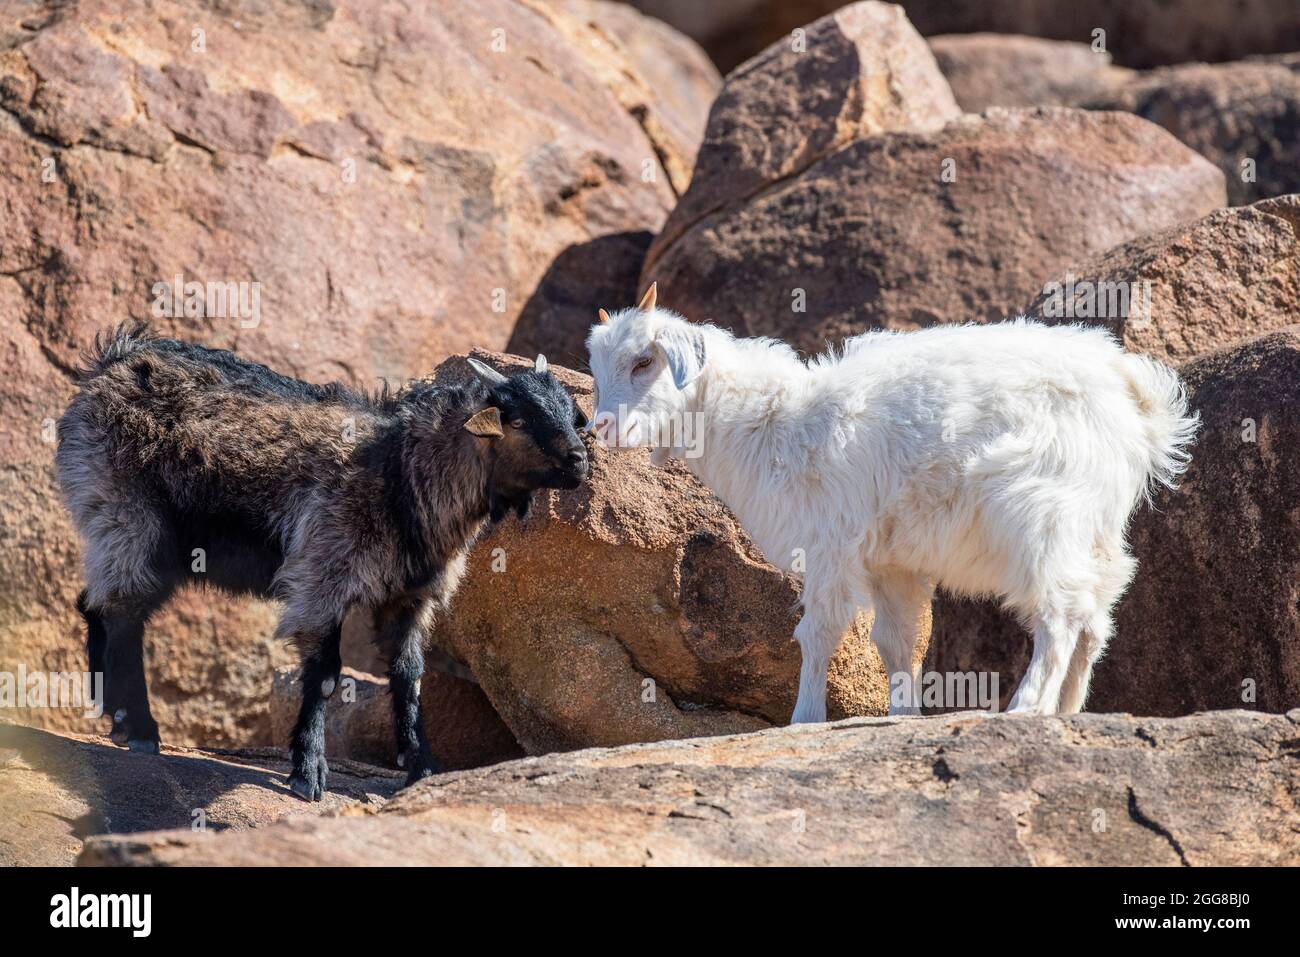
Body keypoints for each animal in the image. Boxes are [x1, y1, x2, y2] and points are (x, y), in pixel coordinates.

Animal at [57, 325, 589, 799]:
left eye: (569, 413)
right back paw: (140, 729)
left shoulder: (410, 596)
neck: (400, 469)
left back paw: (112, 715)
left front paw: (420, 767)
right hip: (128, 513)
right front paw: (308, 771)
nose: (580, 459)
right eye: (517, 419)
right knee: (121, 613)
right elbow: (327, 675)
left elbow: (409, 675)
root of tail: (113, 359)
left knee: (99, 604)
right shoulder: (322, 575)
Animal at [586, 286, 1198, 721]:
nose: (601, 428)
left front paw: (804, 719)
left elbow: (819, 634)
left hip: (1041, 513)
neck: (775, 422)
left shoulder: (830, 546)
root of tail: (1130, 394)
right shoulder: (890, 562)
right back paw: (1068, 707)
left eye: (644, 361)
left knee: (1060, 610)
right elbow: (897, 642)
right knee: (1096, 612)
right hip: (1094, 526)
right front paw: (902, 715)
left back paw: (1027, 706)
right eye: (595, 367)